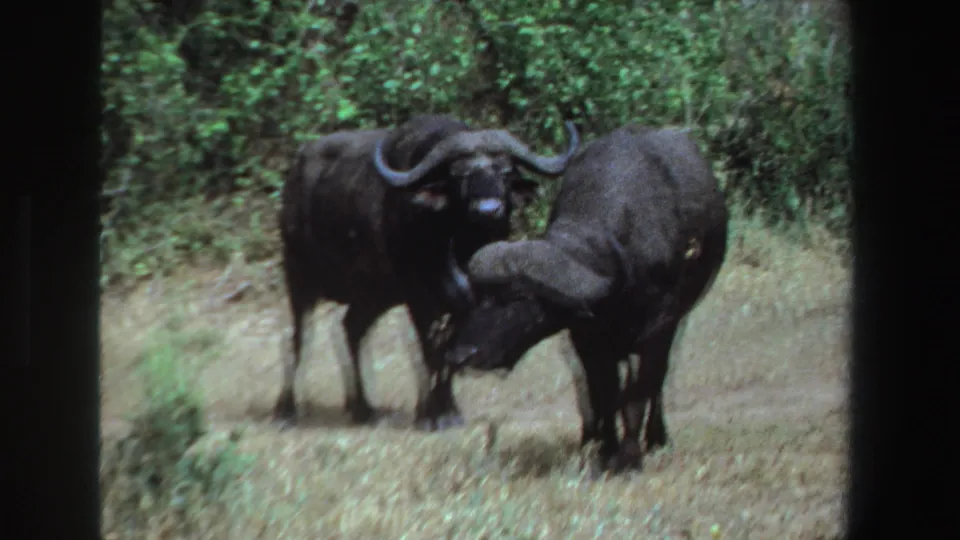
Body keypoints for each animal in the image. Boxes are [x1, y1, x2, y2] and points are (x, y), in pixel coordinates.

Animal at [275, 114, 580, 431]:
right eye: (459, 175)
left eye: (505, 172)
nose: (488, 210)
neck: (458, 248)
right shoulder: (420, 301)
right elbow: (431, 352)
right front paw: (434, 415)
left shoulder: (467, 304)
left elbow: (450, 353)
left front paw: (451, 411)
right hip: (299, 276)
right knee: (297, 336)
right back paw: (287, 409)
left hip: (374, 295)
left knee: (351, 328)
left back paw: (364, 409)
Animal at [443, 124, 729, 471]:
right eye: (476, 296)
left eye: (518, 300)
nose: (460, 356)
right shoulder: (586, 337)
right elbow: (602, 391)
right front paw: (605, 451)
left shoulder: (658, 329)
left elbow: (638, 393)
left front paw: (629, 458)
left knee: (659, 381)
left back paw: (656, 438)